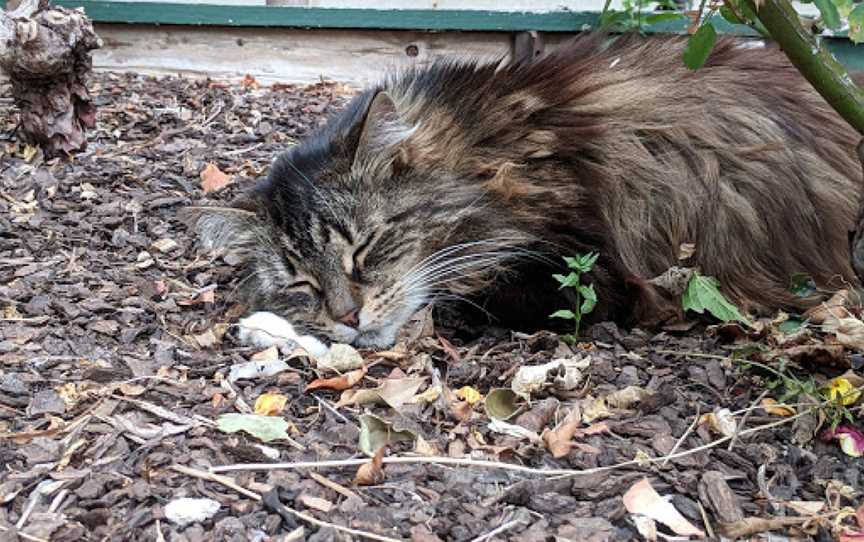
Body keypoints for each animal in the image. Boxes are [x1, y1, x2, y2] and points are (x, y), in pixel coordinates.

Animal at [189, 33, 864, 352]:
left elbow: (452, 304)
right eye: (302, 282)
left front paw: (270, 330)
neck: (482, 147)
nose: (347, 316)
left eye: (365, 249)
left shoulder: (591, 277)